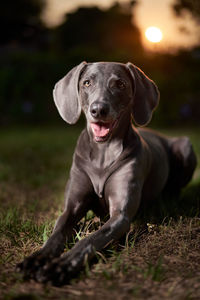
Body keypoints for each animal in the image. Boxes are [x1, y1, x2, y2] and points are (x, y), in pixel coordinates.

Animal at [16, 61, 195, 286]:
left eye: (120, 84)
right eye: (86, 83)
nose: (98, 109)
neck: (103, 153)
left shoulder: (120, 215)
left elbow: (90, 240)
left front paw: (61, 265)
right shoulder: (70, 208)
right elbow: (56, 234)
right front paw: (37, 259)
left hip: (185, 145)